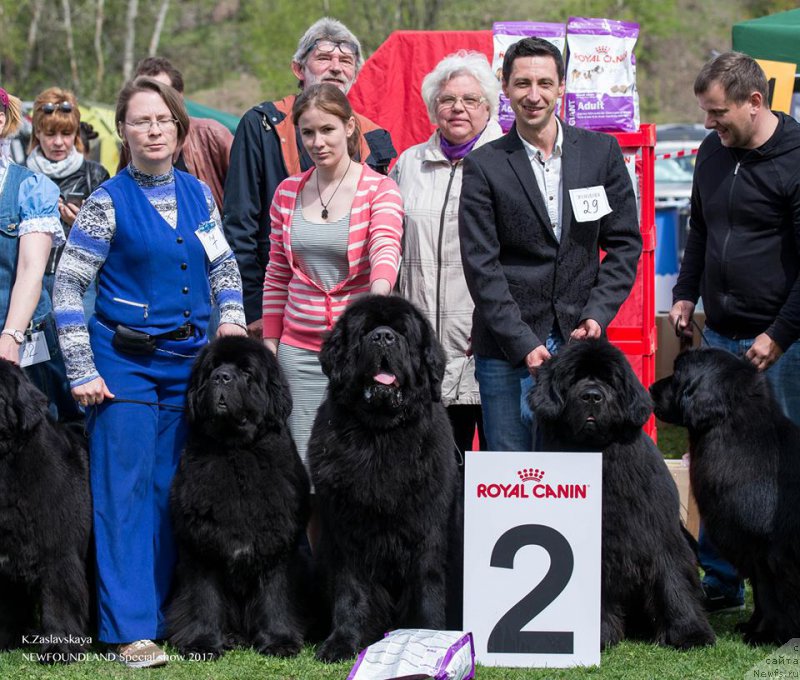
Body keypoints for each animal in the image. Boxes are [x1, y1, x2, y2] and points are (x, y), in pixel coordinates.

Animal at [168, 338, 310, 660]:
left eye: (246, 372)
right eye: (212, 368)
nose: (222, 377)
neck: (236, 452)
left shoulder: (277, 544)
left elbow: (276, 596)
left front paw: (279, 641)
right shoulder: (200, 545)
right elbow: (203, 598)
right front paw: (203, 643)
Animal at [532, 342, 712, 652]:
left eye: (609, 381)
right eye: (574, 379)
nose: (592, 396)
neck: (600, 454)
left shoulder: (661, 536)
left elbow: (674, 581)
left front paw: (691, 633)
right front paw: (598, 636)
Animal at [648, 348, 800, 644]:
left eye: (678, 374)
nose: (651, 389)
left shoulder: (768, 550)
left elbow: (772, 595)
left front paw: (767, 634)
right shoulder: (748, 548)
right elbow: (762, 594)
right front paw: (753, 626)